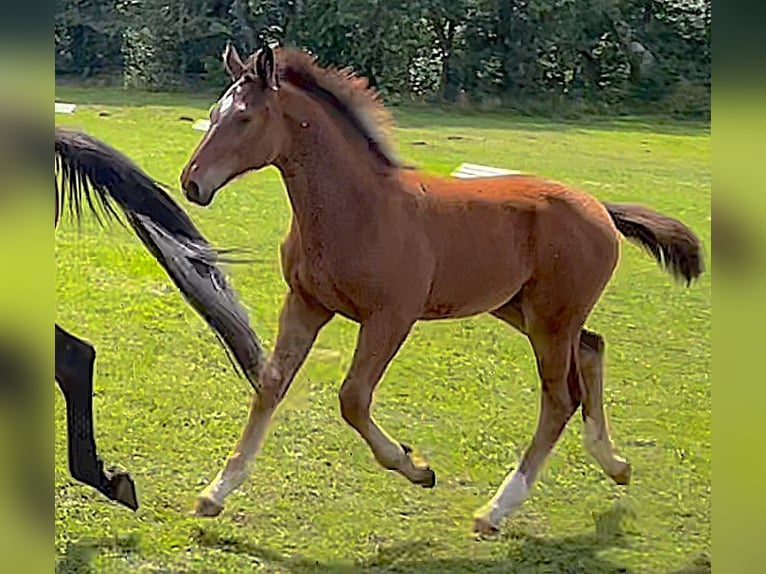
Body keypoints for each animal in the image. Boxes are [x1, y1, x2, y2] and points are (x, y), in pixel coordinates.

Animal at [182, 45, 708, 536]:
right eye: (213, 113)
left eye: (244, 118)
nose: (192, 183)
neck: (358, 208)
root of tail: (599, 205)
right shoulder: (306, 303)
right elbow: (271, 385)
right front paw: (215, 492)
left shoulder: (391, 317)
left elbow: (353, 398)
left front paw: (415, 466)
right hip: (521, 310)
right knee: (593, 348)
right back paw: (614, 464)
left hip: (550, 320)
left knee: (559, 399)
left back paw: (496, 510)